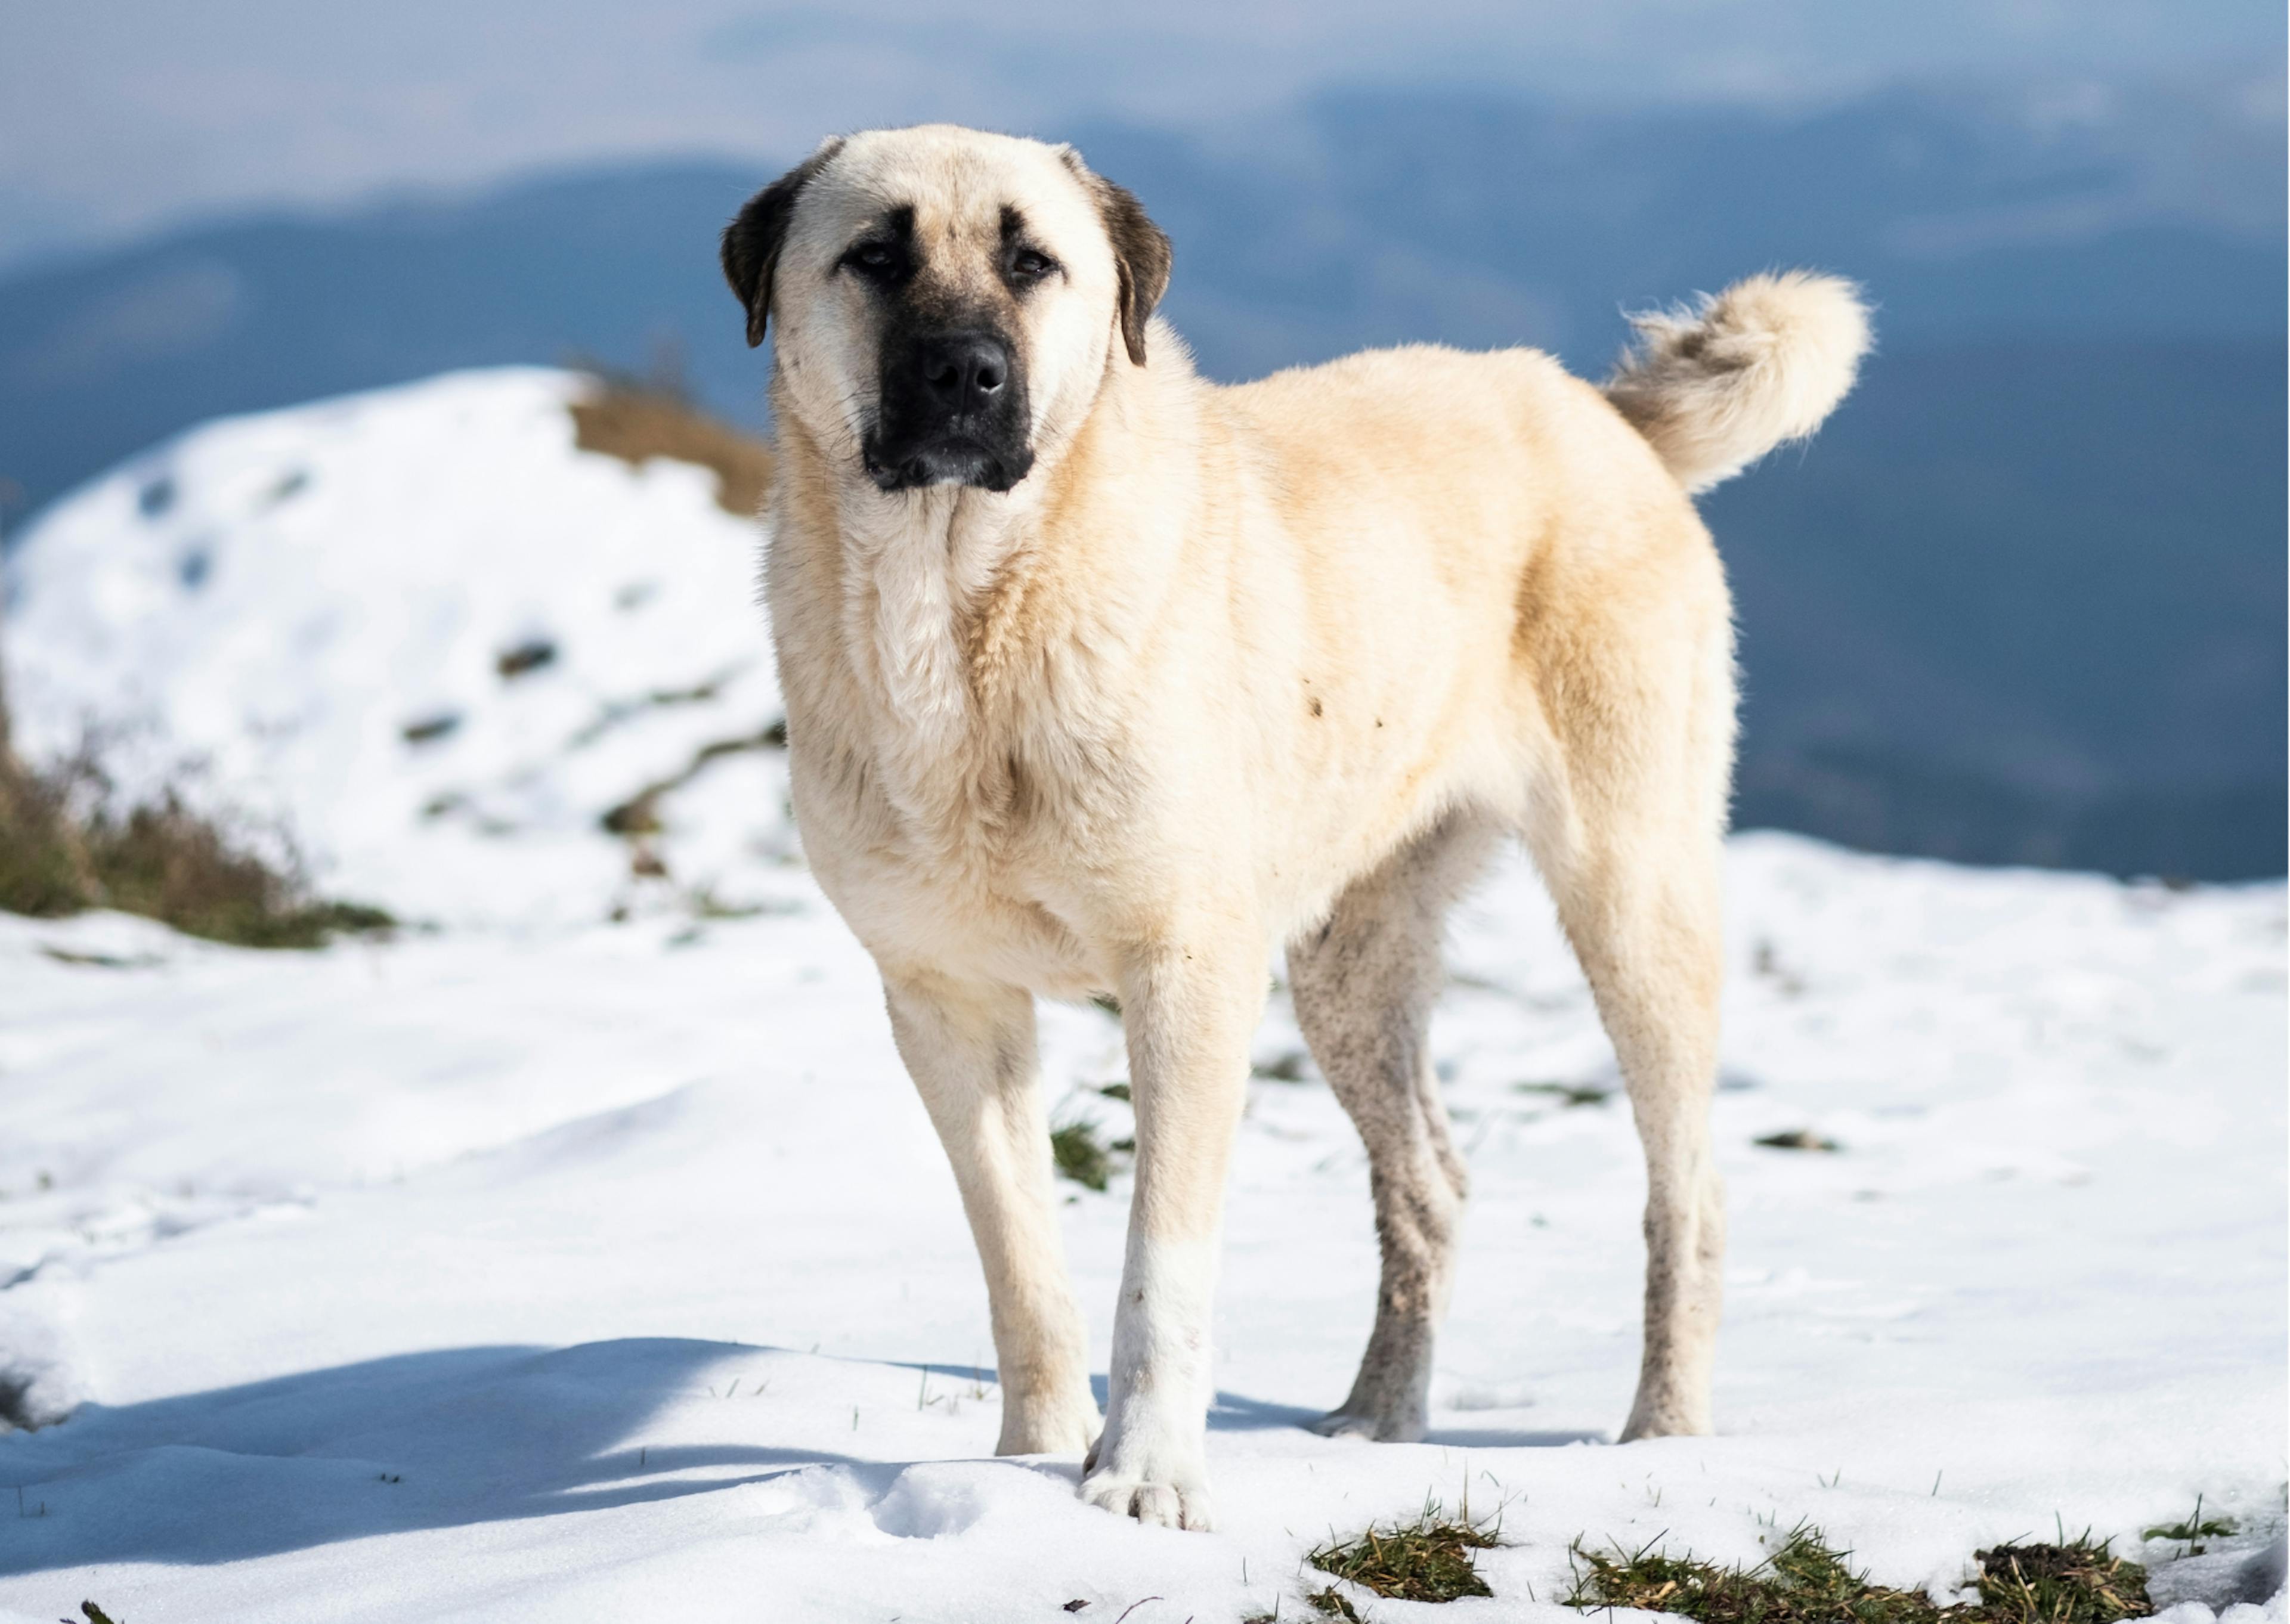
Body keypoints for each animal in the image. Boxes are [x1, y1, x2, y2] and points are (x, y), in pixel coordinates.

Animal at [723, 123, 1868, 1521]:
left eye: (1032, 260)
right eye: (875, 258)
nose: (966, 373)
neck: (963, 622)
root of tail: (1603, 414)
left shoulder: (1187, 974)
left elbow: (1160, 1264)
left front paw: (1145, 1478)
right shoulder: (945, 1001)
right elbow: (1021, 1256)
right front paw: (1027, 1461)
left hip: (1633, 899)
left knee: (1687, 1195)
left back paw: (1661, 1433)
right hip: (1348, 967)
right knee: (1430, 1184)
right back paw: (1377, 1424)